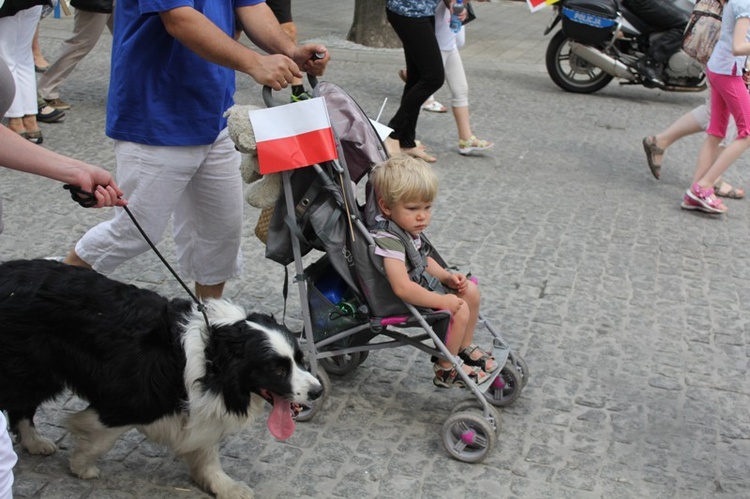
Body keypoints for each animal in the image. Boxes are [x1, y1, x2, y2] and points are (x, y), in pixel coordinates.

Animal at [0, 260, 320, 498]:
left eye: (299, 359)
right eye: (277, 369)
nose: (317, 391)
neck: (213, 360)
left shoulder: (200, 409)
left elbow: (207, 452)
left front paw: (224, 486)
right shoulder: (127, 401)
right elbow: (101, 437)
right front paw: (82, 465)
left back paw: (34, 442)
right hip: (34, 369)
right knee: (21, 403)